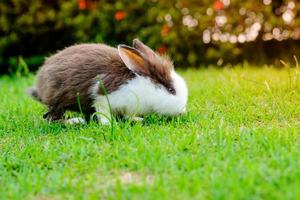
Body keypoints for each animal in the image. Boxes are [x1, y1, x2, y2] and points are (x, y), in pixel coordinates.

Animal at [28, 38, 188, 123]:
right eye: (171, 90)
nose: (182, 111)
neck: (142, 86)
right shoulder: (103, 96)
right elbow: (103, 112)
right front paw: (108, 124)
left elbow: (128, 115)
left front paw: (137, 120)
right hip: (58, 102)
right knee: (50, 118)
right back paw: (75, 121)